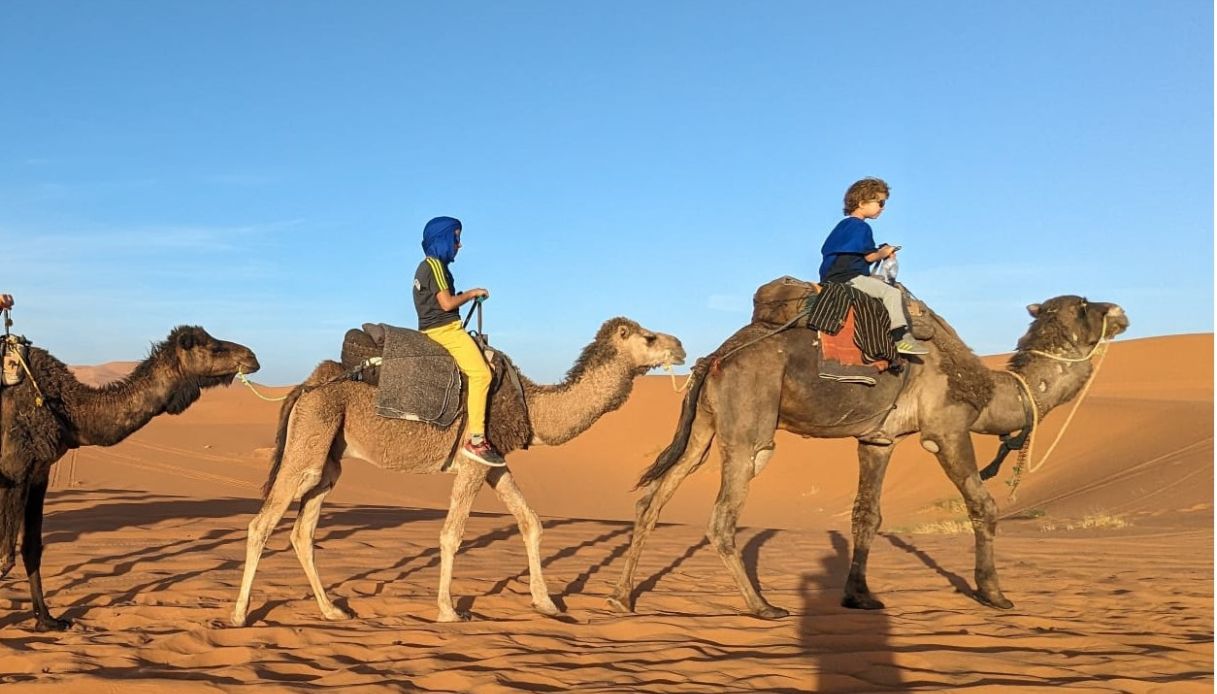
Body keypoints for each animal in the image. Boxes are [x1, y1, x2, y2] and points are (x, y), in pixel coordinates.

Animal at [1, 323, 259, 628]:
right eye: (214, 347)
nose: (252, 357)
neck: (67, 410)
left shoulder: (40, 471)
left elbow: (31, 548)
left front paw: (47, 620)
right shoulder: (15, 469)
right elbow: (4, 557)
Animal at [228, 316, 686, 623]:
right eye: (648, 337)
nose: (680, 346)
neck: (531, 406)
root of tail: (304, 387)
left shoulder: (494, 462)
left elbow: (531, 522)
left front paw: (546, 603)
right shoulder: (471, 461)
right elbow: (451, 535)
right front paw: (449, 610)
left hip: (328, 460)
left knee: (303, 532)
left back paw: (332, 611)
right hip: (309, 442)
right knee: (262, 523)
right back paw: (239, 614)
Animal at [608, 294, 1129, 613]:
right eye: (1084, 306)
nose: (1121, 312)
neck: (987, 388)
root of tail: (713, 358)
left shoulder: (878, 439)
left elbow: (866, 516)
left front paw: (859, 596)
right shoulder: (946, 428)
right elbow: (983, 505)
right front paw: (994, 593)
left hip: (703, 427)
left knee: (652, 500)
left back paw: (621, 597)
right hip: (749, 428)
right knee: (722, 516)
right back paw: (763, 607)